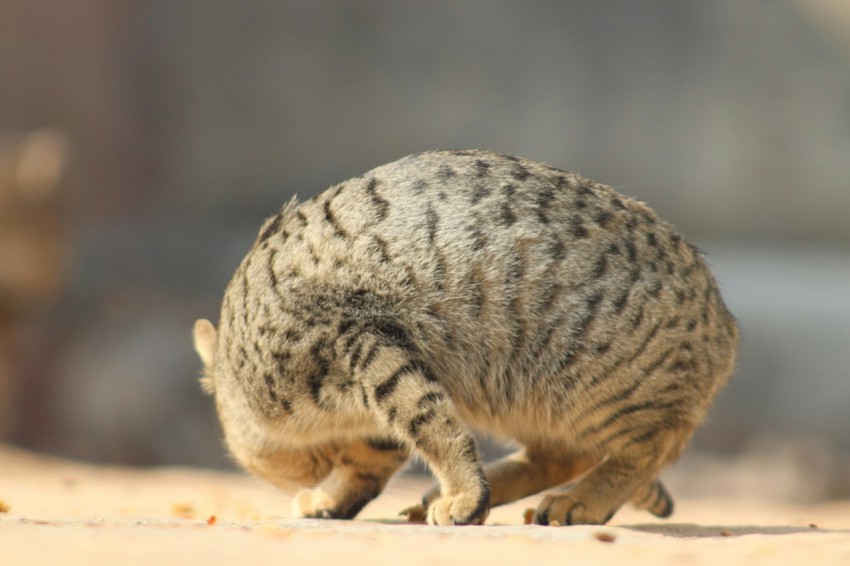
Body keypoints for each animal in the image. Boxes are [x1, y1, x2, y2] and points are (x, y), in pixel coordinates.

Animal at [192, 151, 736, 528]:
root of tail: (727, 323)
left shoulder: (364, 343)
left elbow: (429, 422)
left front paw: (464, 498)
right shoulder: (374, 397)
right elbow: (372, 460)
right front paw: (331, 498)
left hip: (591, 388)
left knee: (645, 451)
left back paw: (580, 501)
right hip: (530, 397)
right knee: (564, 454)